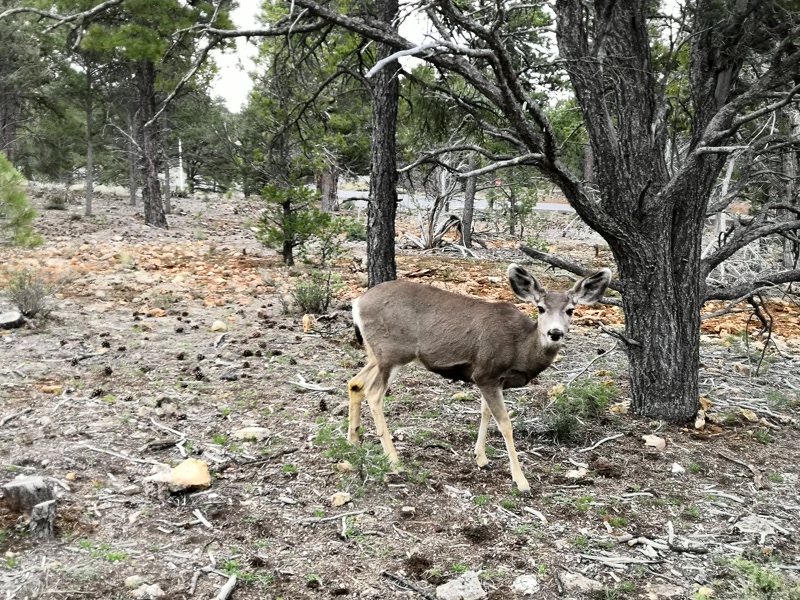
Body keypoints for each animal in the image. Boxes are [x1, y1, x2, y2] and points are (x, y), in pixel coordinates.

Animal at [346, 263, 612, 492]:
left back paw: (354, 442)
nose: (555, 333)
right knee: (374, 393)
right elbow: (505, 423)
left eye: (570, 310)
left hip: (376, 354)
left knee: (355, 382)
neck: (520, 347)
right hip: (392, 352)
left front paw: (481, 457)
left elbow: (485, 412)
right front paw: (521, 480)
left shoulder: (491, 379)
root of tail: (357, 303)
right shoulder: (486, 373)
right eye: (540, 308)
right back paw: (394, 460)